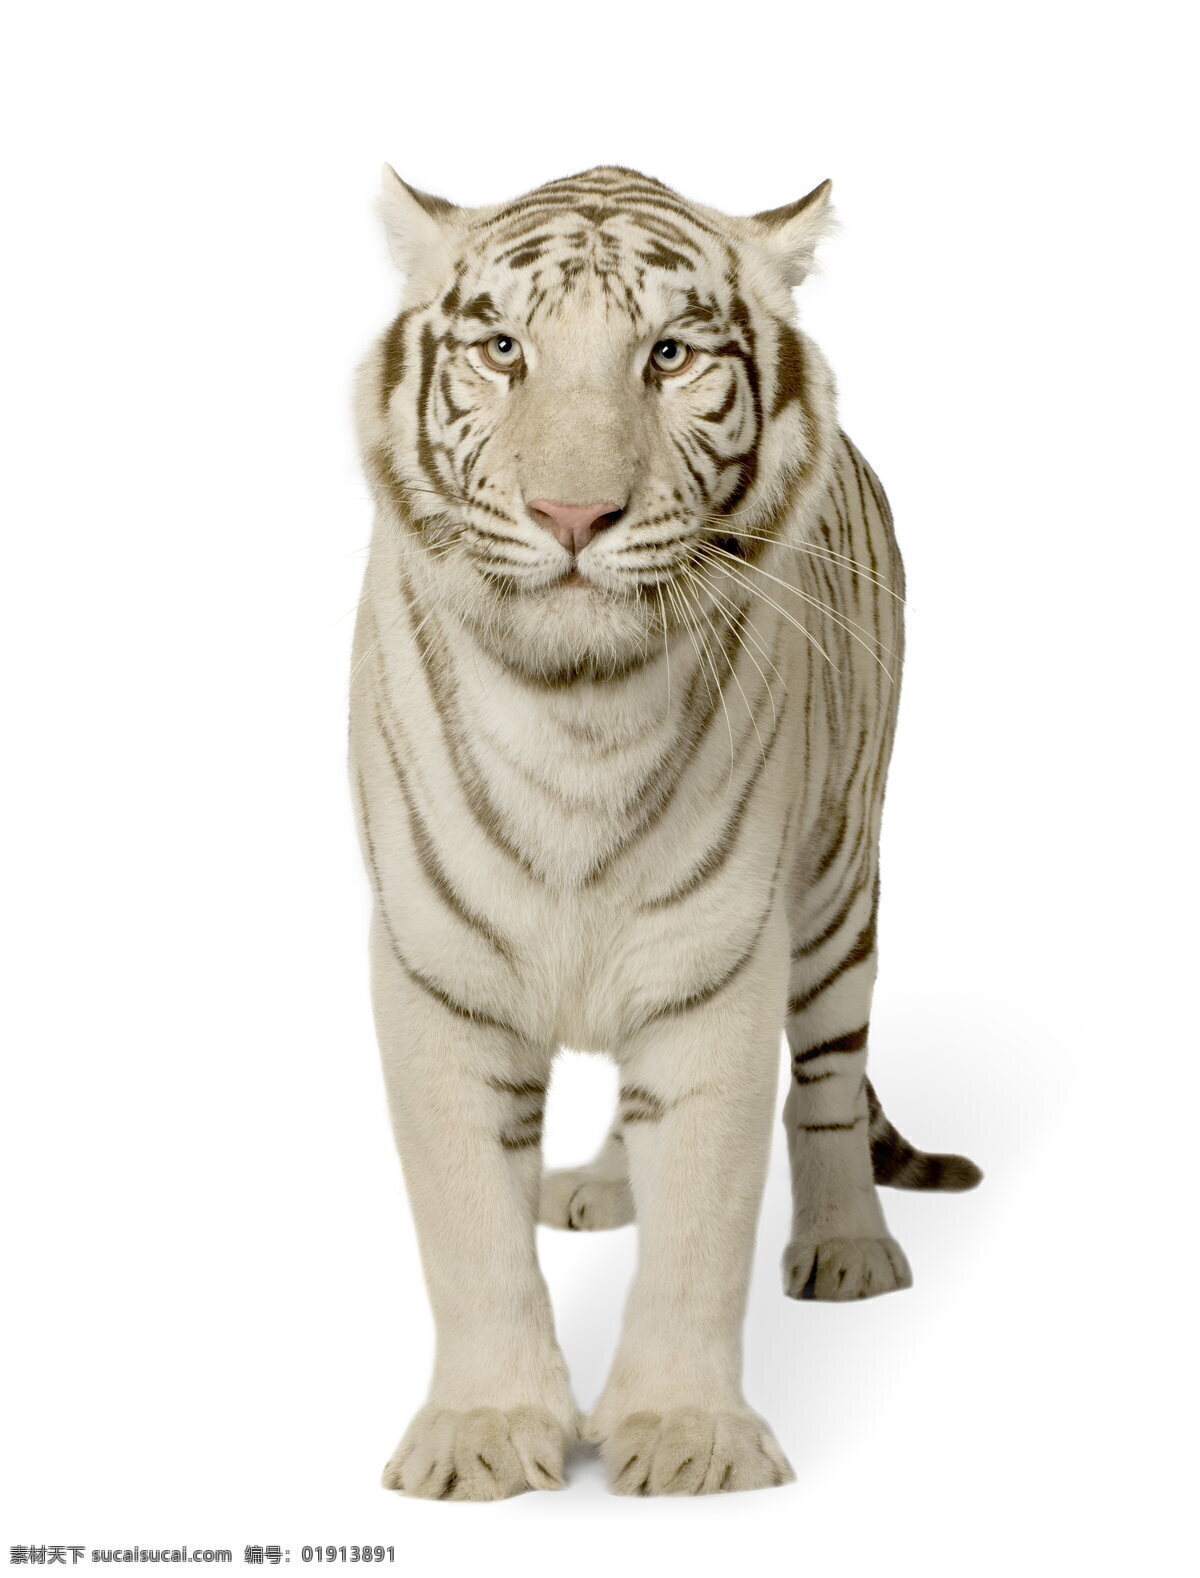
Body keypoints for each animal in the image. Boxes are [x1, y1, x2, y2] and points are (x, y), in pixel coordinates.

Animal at [349, 163, 981, 1501]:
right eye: (503, 349)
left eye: (671, 354)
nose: (573, 513)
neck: (574, 704)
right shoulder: (435, 973)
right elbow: (469, 1226)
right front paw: (482, 1435)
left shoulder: (717, 964)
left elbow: (704, 1218)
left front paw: (688, 1440)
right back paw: (597, 1188)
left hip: (839, 888)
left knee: (829, 1084)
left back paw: (850, 1251)